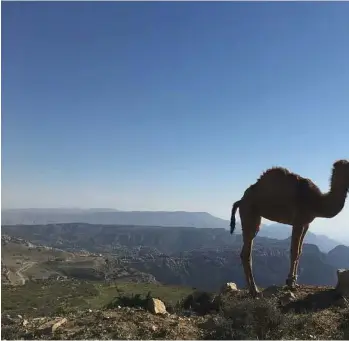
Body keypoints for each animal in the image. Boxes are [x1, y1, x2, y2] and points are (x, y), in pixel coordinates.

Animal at [230, 159, 346, 294]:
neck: (316, 202)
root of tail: (240, 201)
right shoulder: (298, 221)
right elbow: (294, 251)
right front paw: (290, 283)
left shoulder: (306, 224)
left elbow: (300, 251)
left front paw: (294, 281)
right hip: (250, 213)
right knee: (247, 252)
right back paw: (254, 290)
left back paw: (252, 289)